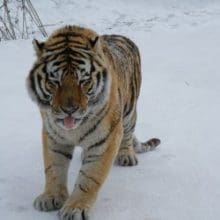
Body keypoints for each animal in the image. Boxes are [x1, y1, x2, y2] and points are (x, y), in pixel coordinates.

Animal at [25, 25, 161, 220]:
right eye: (54, 82)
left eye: (84, 81)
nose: (69, 110)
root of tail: (122, 37)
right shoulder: (52, 135)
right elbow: (53, 168)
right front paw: (51, 197)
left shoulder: (107, 138)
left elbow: (89, 177)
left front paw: (74, 208)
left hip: (129, 112)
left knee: (128, 134)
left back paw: (126, 156)